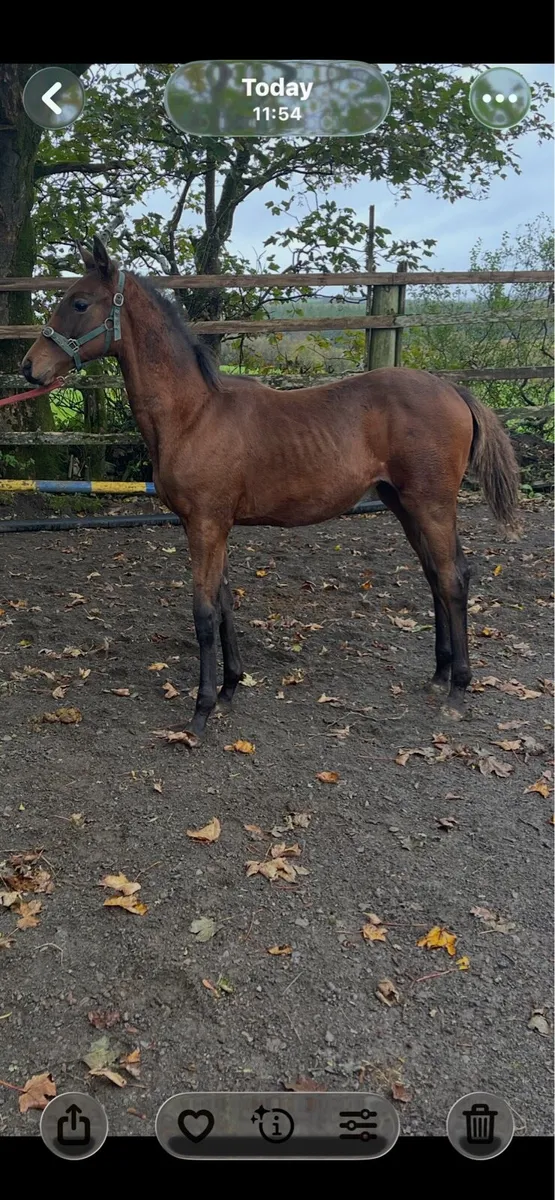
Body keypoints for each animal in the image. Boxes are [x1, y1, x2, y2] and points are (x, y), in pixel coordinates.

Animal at [21, 236, 521, 742]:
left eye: (80, 303)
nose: (29, 367)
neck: (194, 414)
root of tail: (454, 391)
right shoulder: (211, 525)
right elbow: (224, 602)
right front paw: (229, 689)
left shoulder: (205, 524)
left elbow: (204, 612)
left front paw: (201, 712)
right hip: (402, 504)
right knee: (436, 576)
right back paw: (439, 677)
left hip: (431, 504)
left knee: (453, 578)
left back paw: (458, 691)